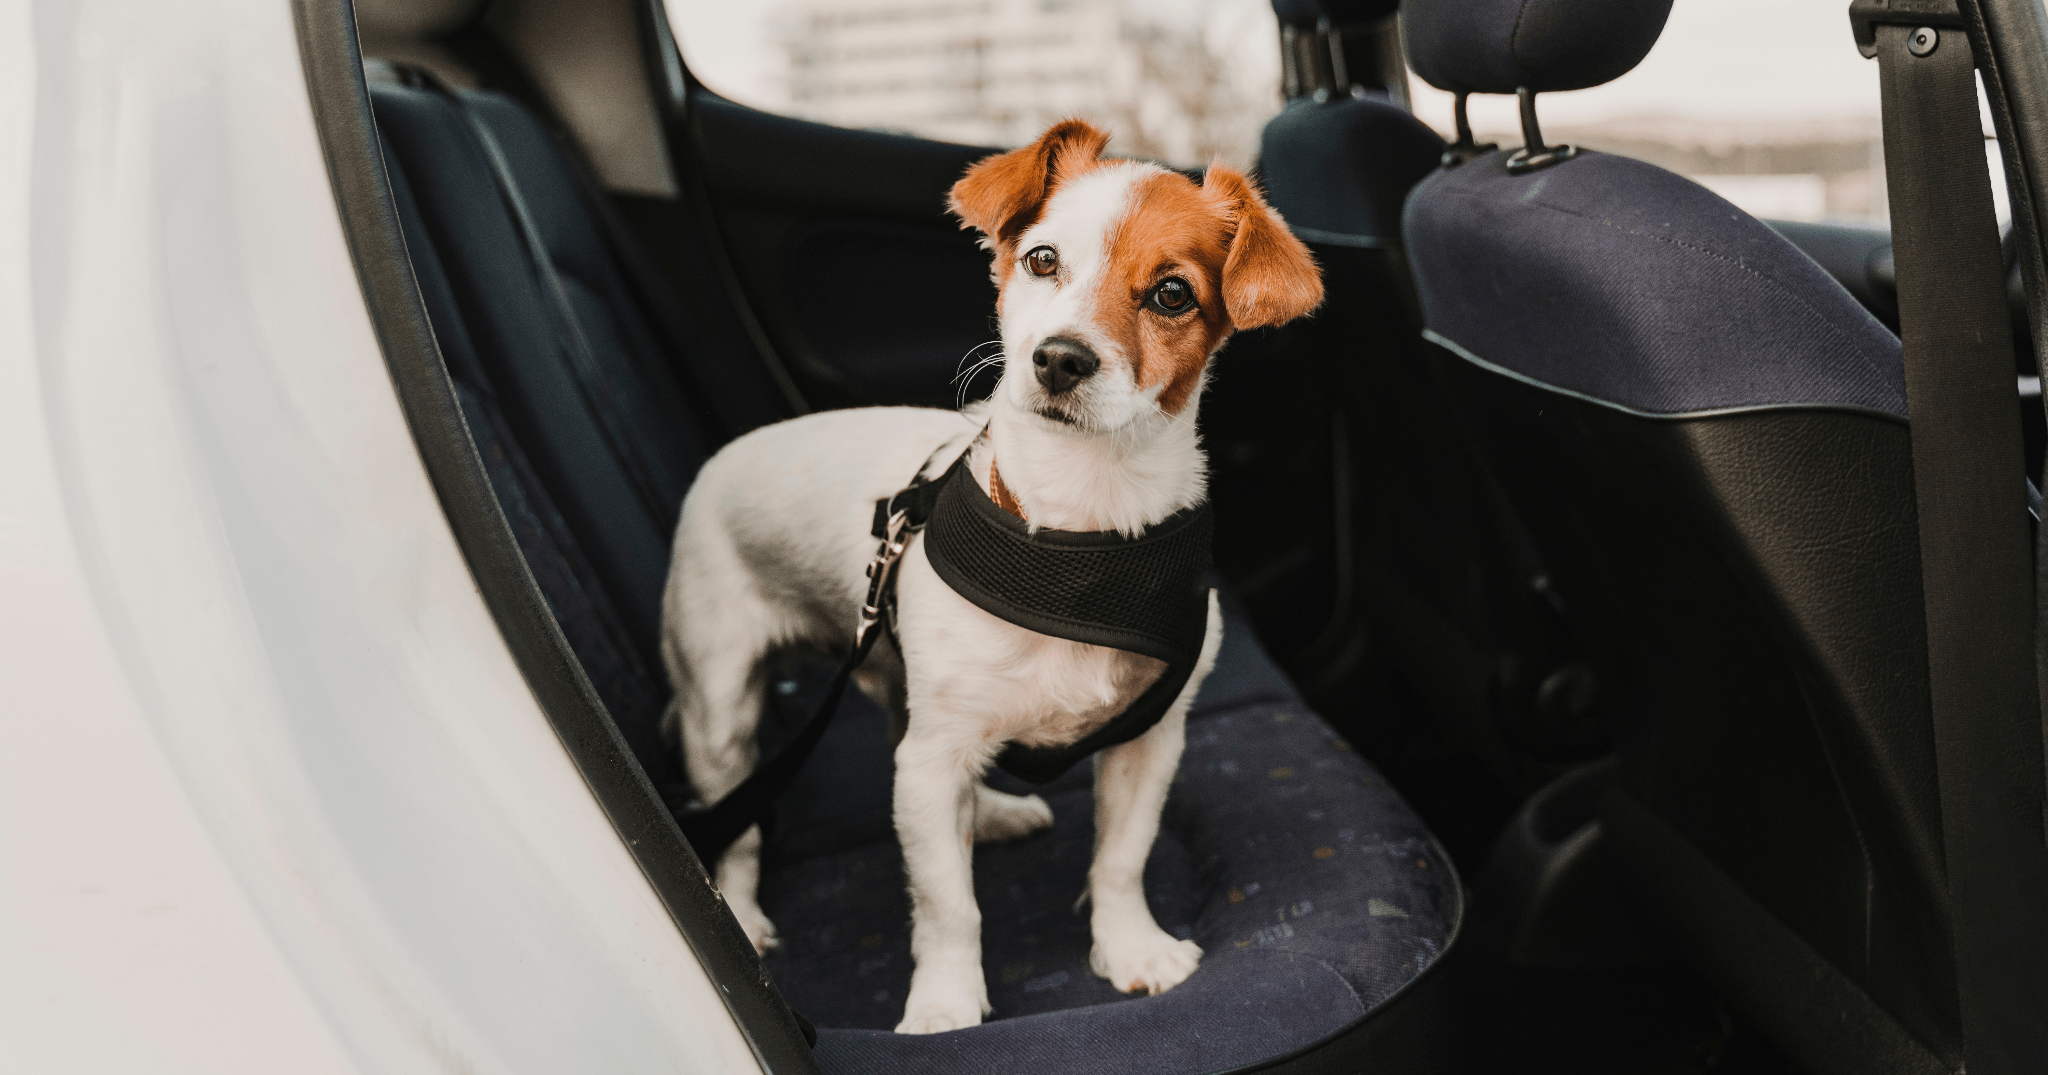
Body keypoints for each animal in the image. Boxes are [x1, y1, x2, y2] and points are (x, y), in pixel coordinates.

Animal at [663, 117, 1318, 1032]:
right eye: (1042, 260)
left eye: (1172, 295)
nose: (1061, 359)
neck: (1077, 532)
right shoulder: (933, 760)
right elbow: (948, 904)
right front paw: (944, 1003)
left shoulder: (1148, 740)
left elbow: (1121, 856)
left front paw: (1130, 948)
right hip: (721, 710)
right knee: (742, 824)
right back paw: (745, 913)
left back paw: (994, 813)